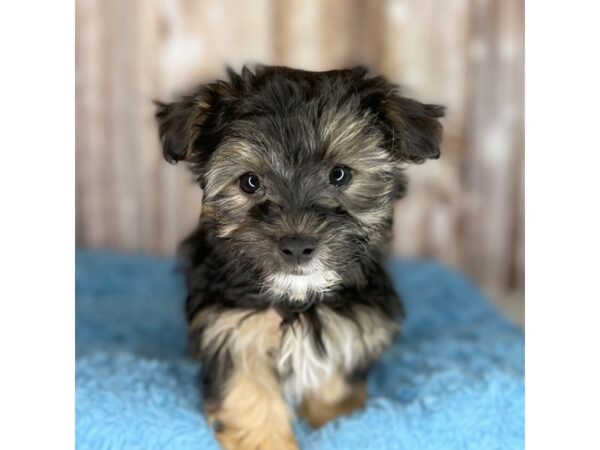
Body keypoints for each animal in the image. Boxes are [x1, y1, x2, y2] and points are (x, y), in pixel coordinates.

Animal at [156, 65, 446, 448]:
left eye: (339, 175)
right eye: (250, 182)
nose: (297, 245)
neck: (297, 299)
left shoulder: (351, 326)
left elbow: (332, 385)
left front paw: (334, 422)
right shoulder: (231, 332)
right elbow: (250, 398)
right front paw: (269, 440)